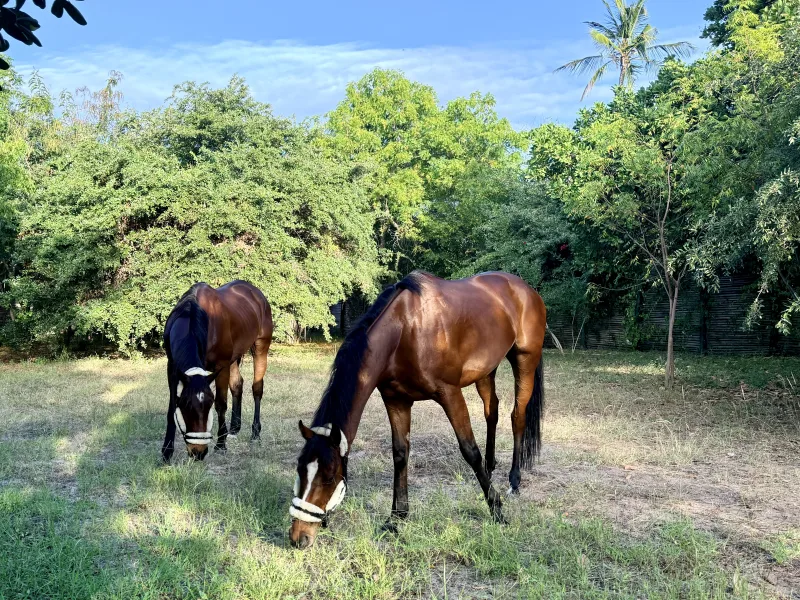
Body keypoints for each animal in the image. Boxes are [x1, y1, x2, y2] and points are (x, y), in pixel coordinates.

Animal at [161, 280, 273, 462]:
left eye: (209, 405)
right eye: (186, 406)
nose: (198, 452)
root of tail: (256, 293)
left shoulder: (222, 366)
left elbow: (221, 404)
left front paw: (221, 444)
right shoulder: (172, 368)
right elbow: (171, 408)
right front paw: (166, 451)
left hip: (260, 347)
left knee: (257, 389)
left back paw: (255, 433)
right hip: (234, 358)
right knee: (237, 385)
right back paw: (234, 428)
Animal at [289, 271, 546, 548]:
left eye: (328, 477)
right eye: (300, 469)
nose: (299, 537)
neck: (404, 331)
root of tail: (525, 288)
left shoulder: (450, 394)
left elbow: (469, 450)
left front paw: (497, 510)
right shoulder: (396, 401)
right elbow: (400, 454)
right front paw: (396, 517)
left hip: (525, 360)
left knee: (517, 416)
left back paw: (514, 481)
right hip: (486, 371)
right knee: (492, 411)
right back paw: (491, 467)